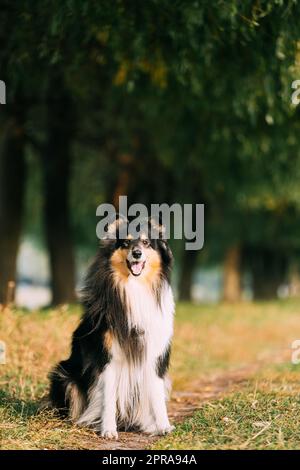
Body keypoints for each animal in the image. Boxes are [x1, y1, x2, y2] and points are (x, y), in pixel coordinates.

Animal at [49, 217, 175, 436]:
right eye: (125, 243)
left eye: (146, 243)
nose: (137, 253)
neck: (136, 287)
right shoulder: (106, 357)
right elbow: (108, 397)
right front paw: (108, 429)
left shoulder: (154, 355)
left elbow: (157, 395)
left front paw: (163, 426)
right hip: (65, 376)